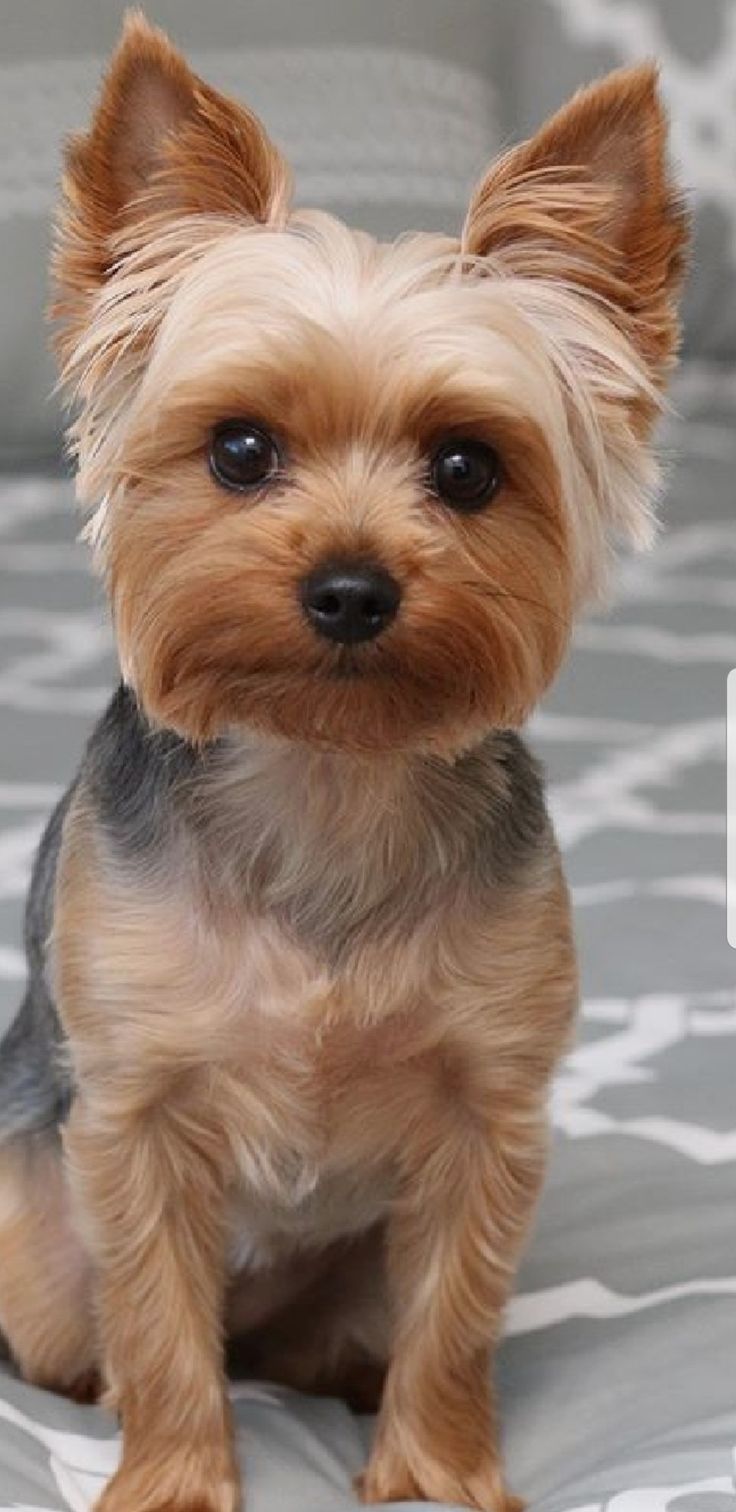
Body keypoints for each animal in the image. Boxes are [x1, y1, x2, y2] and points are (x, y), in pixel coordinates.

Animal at [0, 14, 689, 1512]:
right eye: (240, 449)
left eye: (469, 467)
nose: (353, 589)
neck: (328, 772)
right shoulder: (134, 1115)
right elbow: (157, 1321)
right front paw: (172, 1480)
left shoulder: (490, 1111)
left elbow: (454, 1316)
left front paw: (434, 1475)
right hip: (35, 1248)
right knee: (98, 1334)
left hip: (343, 1287)